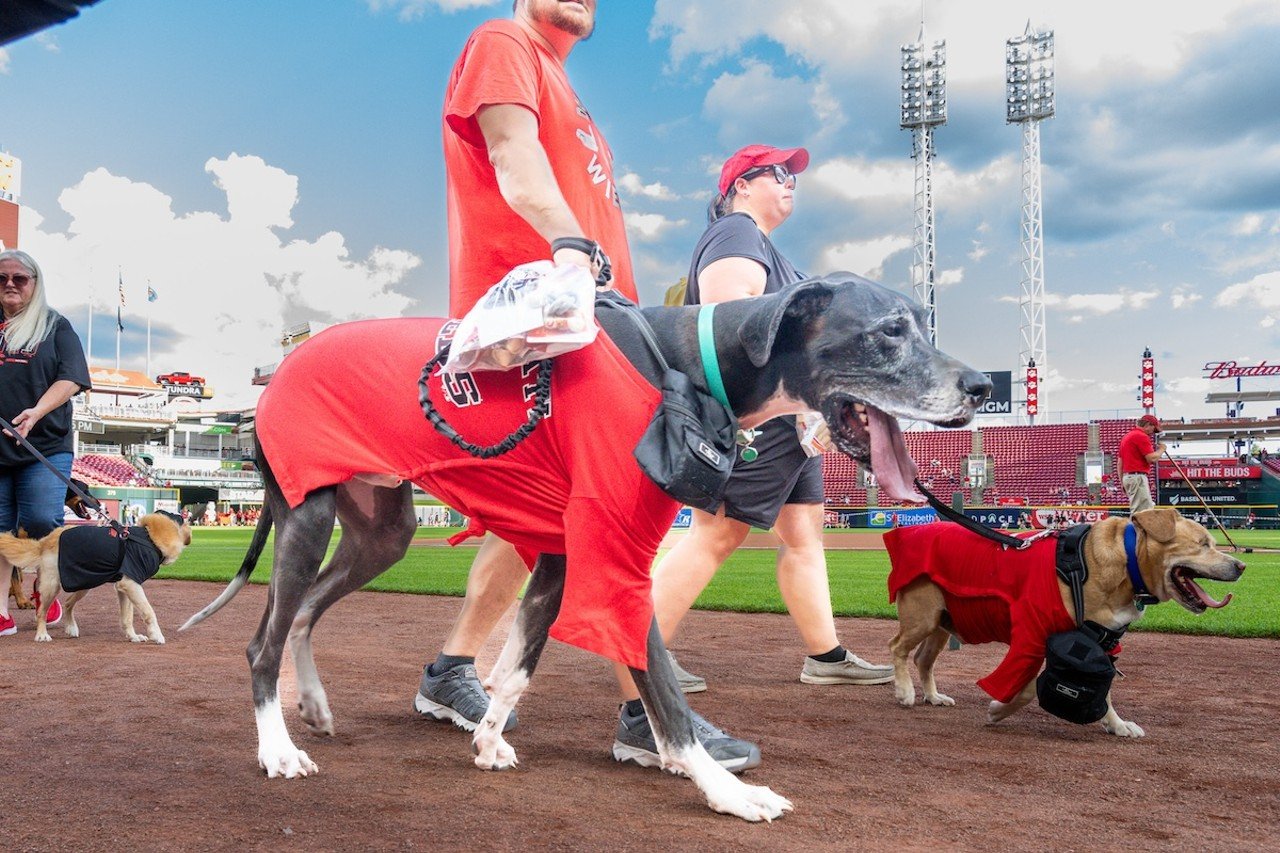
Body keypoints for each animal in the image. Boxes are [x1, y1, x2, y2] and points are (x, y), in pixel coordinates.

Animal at [0, 507, 190, 640]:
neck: (149, 537)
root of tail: (46, 540)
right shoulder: (130, 584)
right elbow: (149, 612)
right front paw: (156, 635)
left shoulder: (125, 586)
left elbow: (127, 617)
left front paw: (133, 636)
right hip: (51, 586)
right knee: (41, 612)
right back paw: (41, 634)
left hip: (84, 583)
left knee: (68, 603)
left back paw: (71, 627)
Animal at [180, 270, 988, 819]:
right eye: (890, 330)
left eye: (923, 323)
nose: (982, 386)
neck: (689, 363)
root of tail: (279, 368)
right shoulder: (615, 559)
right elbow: (660, 687)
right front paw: (725, 788)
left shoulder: (561, 556)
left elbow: (516, 668)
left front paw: (488, 740)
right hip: (308, 516)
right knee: (262, 638)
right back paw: (277, 747)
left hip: (383, 531)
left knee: (303, 610)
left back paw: (313, 705)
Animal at [890, 507, 1239, 732]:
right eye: (1203, 544)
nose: (1241, 566)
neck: (1123, 564)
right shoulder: (1030, 634)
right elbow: (1025, 687)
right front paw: (999, 710)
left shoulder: (1102, 644)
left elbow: (1105, 689)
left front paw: (1116, 724)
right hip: (923, 615)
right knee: (897, 647)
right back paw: (905, 691)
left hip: (943, 620)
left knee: (922, 659)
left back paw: (933, 696)